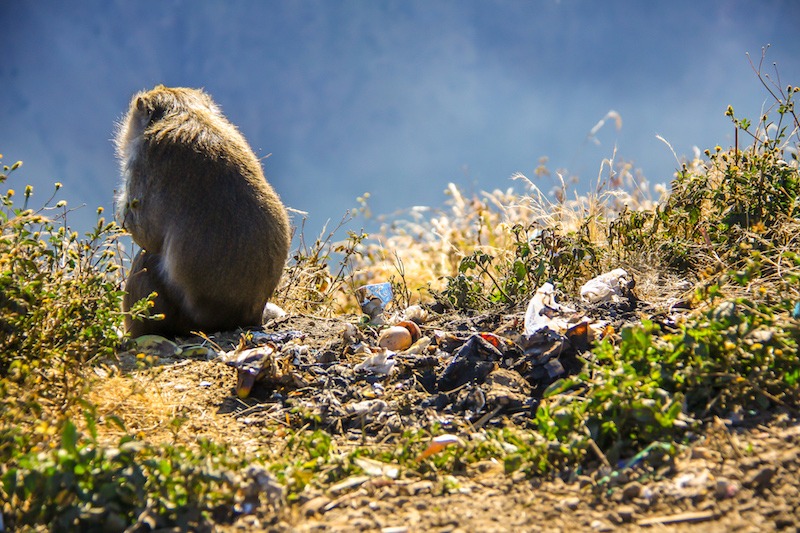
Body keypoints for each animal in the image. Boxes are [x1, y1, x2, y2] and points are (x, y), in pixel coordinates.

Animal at [114, 85, 291, 337]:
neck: (185, 111)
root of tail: (242, 317)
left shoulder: (145, 157)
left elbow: (145, 234)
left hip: (182, 320)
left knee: (146, 260)